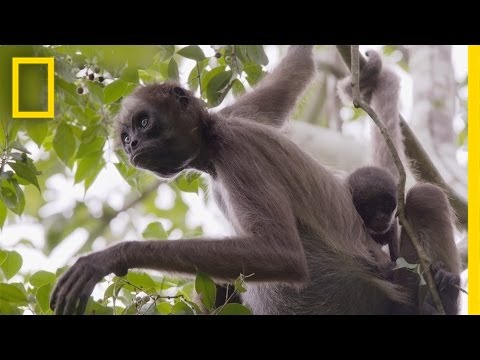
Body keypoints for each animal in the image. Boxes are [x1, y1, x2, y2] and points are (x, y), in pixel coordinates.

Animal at [50, 45, 460, 316]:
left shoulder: (237, 150)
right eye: (126, 136)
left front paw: (112, 257)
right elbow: (296, 69)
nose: (132, 144)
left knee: (424, 196)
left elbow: (282, 255)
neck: (213, 140)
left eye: (143, 122)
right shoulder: (234, 116)